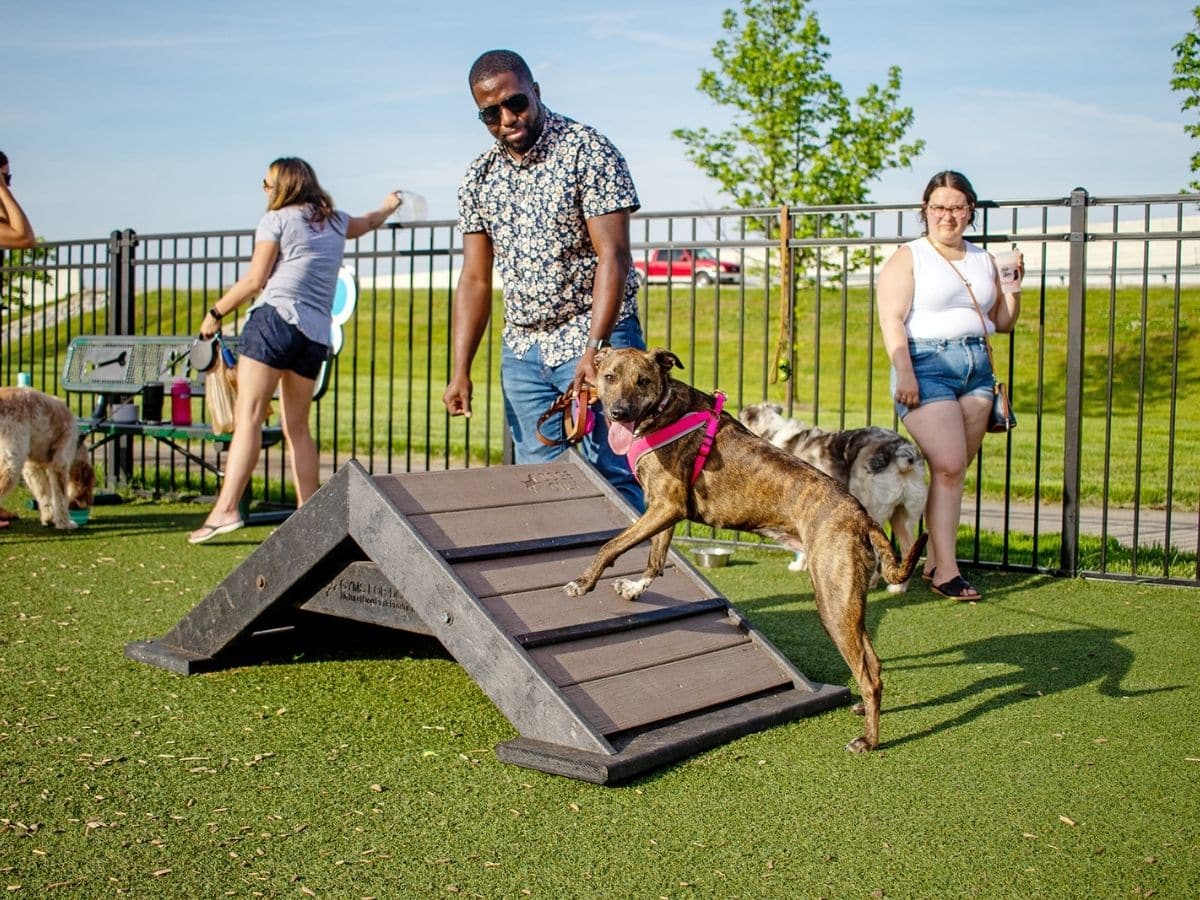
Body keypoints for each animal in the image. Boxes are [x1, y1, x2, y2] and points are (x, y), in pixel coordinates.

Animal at [0, 387, 96, 530]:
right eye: (89, 486)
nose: (88, 503)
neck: (77, 445)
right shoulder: (59, 464)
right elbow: (60, 499)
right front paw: (65, 523)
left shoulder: (33, 467)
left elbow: (44, 494)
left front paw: (49, 518)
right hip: (11, 464)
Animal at [738, 403, 927, 592]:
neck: (772, 432)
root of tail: (902, 450)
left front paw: (799, 565)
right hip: (903, 516)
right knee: (908, 550)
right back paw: (897, 589)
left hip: (872, 509)